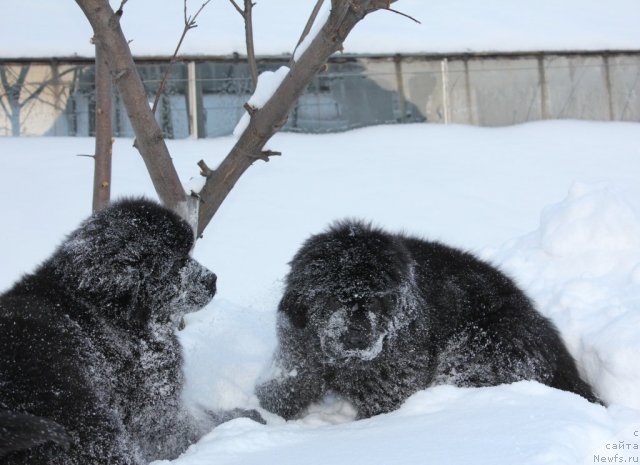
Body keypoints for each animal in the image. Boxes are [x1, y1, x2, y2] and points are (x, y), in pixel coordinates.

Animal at [255, 219, 600, 418]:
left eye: (379, 298)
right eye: (334, 296)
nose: (356, 336)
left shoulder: (390, 387)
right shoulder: (298, 357)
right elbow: (287, 389)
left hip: (476, 350)